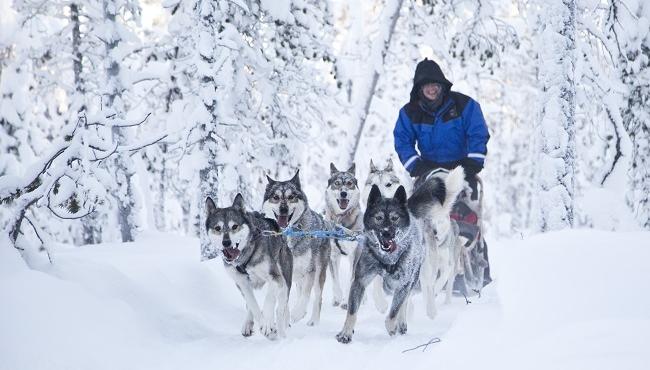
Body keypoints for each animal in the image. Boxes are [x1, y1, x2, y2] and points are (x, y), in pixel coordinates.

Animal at [205, 195, 292, 340]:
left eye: (234, 226)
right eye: (217, 228)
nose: (226, 242)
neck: (245, 258)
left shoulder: (275, 278)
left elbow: (269, 299)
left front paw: (267, 325)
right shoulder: (242, 283)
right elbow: (253, 305)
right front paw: (263, 324)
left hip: (285, 283)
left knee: (280, 310)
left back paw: (281, 332)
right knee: (249, 305)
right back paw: (248, 323)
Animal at [260, 171, 330, 326]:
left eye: (291, 196)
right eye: (275, 197)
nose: (283, 209)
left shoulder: (310, 270)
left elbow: (305, 295)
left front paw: (298, 313)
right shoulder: (283, 275)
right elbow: (284, 302)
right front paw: (285, 319)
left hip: (318, 273)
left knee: (317, 297)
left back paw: (313, 320)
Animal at [322, 163, 362, 308]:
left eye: (350, 183)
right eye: (337, 183)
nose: (343, 193)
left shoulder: (354, 256)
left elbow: (350, 279)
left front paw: (345, 301)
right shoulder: (332, 255)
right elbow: (335, 280)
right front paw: (337, 297)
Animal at [334, 185, 426, 344]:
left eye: (395, 218)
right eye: (379, 218)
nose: (386, 233)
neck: (386, 260)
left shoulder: (403, 284)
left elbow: (393, 313)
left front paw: (393, 328)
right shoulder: (360, 281)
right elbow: (352, 312)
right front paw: (346, 333)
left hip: (411, 280)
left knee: (405, 300)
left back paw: (401, 323)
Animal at [408, 168, 464, 320]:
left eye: (439, 221)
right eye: (428, 220)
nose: (433, 231)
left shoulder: (447, 267)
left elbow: (439, 282)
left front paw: (436, 292)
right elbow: (430, 286)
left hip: (450, 268)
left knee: (448, 285)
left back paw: (445, 302)